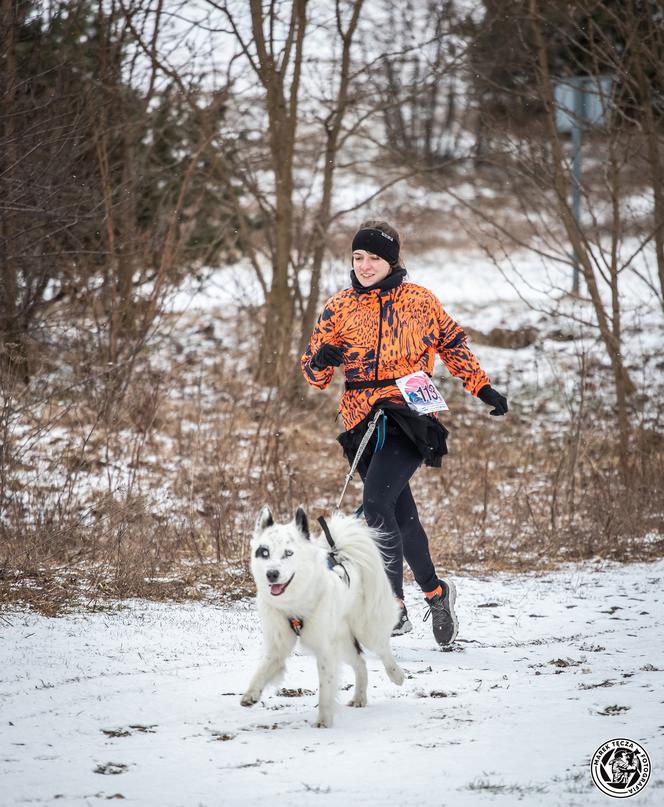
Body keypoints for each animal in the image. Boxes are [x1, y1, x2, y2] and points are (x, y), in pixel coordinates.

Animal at [240, 504, 404, 724]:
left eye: (288, 553)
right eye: (264, 552)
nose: (272, 574)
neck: (295, 601)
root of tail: (344, 556)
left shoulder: (325, 648)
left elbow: (326, 687)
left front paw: (324, 721)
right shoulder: (278, 643)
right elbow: (263, 668)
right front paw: (251, 694)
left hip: (366, 630)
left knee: (384, 650)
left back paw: (397, 675)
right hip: (343, 641)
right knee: (360, 663)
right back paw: (359, 698)